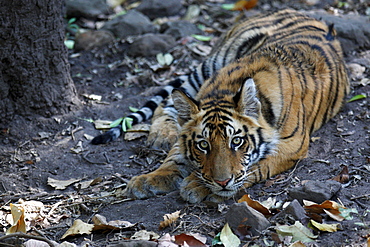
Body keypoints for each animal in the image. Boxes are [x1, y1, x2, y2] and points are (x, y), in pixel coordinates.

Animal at [92, 9, 350, 203]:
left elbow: (256, 166)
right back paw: (162, 135)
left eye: (236, 141)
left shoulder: (292, 146)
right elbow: (174, 156)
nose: (222, 182)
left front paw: (197, 186)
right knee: (166, 103)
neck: (226, 90)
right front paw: (149, 178)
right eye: (203, 145)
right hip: (211, 63)